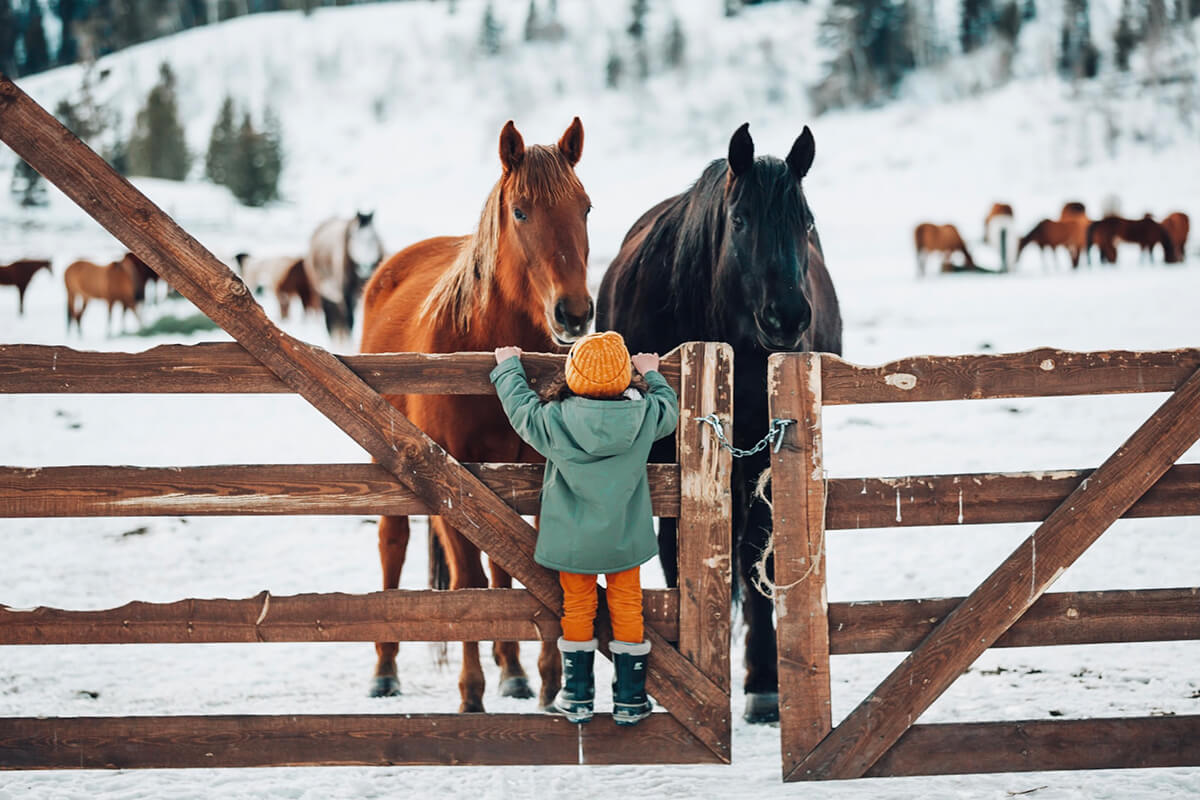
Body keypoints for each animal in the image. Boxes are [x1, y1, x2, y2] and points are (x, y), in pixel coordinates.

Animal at [304, 211, 384, 343]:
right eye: (354, 238)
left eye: (374, 238)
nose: (365, 267)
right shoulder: (346, 293)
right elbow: (350, 320)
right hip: (324, 293)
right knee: (330, 320)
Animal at [360, 117, 595, 714]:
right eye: (521, 211)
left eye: (585, 207)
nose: (575, 313)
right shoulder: (451, 484)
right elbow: (466, 583)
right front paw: (471, 695)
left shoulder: (536, 476)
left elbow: (530, 572)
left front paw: (548, 683)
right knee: (392, 544)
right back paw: (385, 669)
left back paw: (512, 670)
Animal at [592, 120, 840, 724]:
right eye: (741, 219)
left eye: (806, 222)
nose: (788, 316)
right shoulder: (664, 461)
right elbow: (676, 551)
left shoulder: (764, 453)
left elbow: (755, 557)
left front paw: (763, 685)